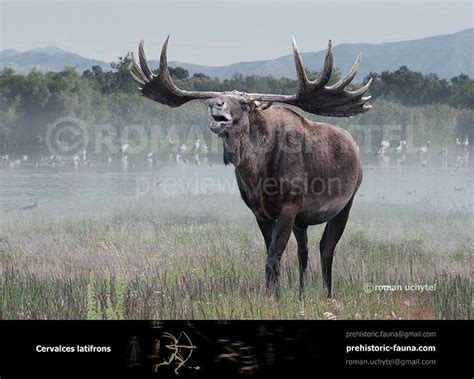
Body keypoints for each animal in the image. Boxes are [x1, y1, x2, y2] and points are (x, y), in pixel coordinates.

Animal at [131, 36, 372, 296]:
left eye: (245, 103)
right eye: (217, 98)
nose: (214, 103)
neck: (259, 177)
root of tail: (354, 146)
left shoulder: (289, 205)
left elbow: (273, 257)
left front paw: (274, 297)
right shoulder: (260, 212)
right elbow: (271, 255)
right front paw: (273, 294)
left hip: (346, 202)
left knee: (326, 248)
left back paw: (326, 293)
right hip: (303, 219)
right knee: (304, 251)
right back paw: (301, 293)